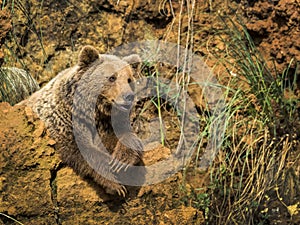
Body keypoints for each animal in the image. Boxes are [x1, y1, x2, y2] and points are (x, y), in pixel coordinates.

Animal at [20, 46, 144, 197]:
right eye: (112, 77)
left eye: (129, 79)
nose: (129, 96)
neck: (96, 111)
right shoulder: (66, 123)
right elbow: (85, 151)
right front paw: (115, 185)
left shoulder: (112, 123)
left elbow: (130, 138)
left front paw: (120, 162)